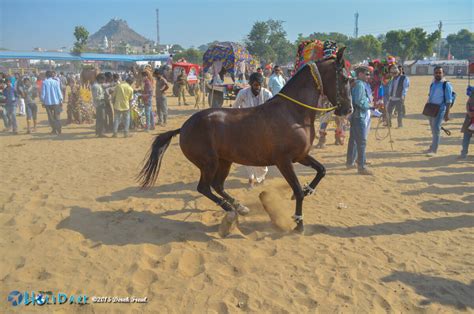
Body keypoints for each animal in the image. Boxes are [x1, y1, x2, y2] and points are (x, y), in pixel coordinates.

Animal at [137, 47, 352, 236]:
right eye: (345, 78)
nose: (348, 110)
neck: (293, 113)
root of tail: (184, 127)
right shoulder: (284, 161)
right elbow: (297, 190)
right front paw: (298, 223)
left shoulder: (301, 155)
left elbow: (321, 170)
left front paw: (308, 191)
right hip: (209, 163)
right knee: (204, 187)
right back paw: (230, 210)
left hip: (224, 161)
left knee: (218, 185)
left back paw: (239, 207)